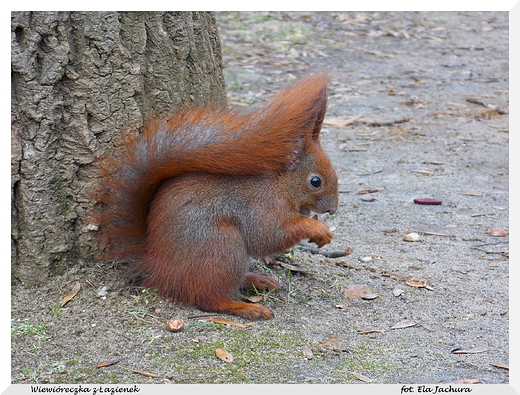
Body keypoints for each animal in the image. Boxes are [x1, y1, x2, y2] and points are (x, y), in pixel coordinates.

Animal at [95, 73, 340, 322]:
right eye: (315, 181)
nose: (333, 210)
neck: (280, 185)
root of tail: (158, 267)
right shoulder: (262, 206)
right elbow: (269, 235)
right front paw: (317, 229)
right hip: (222, 248)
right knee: (209, 299)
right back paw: (245, 307)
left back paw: (257, 279)